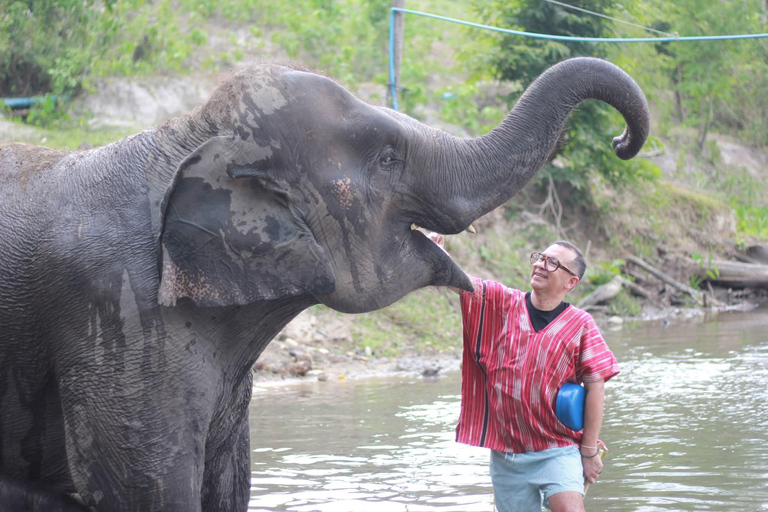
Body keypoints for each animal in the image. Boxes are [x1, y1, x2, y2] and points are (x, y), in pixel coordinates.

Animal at [0, 56, 649, 511]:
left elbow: (226, 487)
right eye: (387, 159)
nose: (621, 141)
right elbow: (142, 492)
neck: (187, 135)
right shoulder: (117, 318)